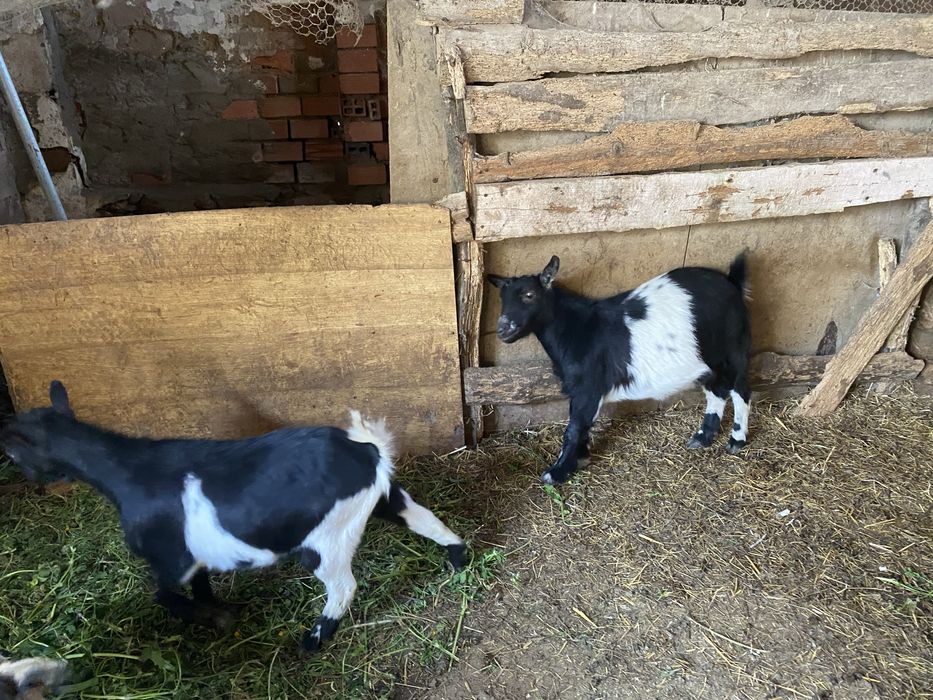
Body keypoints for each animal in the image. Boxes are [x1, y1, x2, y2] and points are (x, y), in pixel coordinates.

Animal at [0, 382, 466, 653]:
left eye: (14, 452)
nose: (30, 477)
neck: (129, 473)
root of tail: (367, 449)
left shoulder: (170, 558)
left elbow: (164, 595)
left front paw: (216, 619)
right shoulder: (195, 558)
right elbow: (201, 585)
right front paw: (216, 612)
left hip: (326, 539)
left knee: (344, 586)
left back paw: (312, 641)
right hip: (381, 498)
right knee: (424, 519)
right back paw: (458, 559)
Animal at [488, 253, 751, 484]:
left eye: (529, 295)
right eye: (503, 299)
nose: (503, 330)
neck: (580, 328)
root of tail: (732, 282)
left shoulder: (589, 386)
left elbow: (574, 427)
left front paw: (558, 472)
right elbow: (581, 425)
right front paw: (580, 458)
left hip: (734, 348)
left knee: (740, 389)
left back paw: (736, 440)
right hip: (708, 358)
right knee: (717, 390)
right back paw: (703, 436)